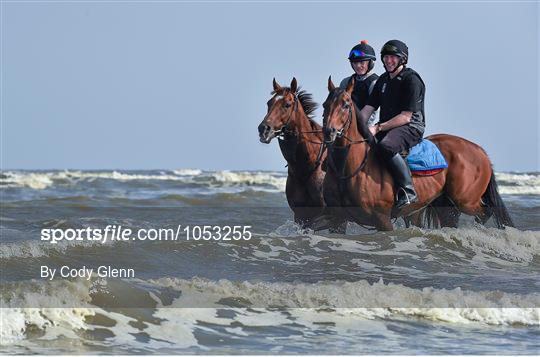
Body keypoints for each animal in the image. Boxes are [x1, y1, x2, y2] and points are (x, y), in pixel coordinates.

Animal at [320, 76, 516, 229]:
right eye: (325, 105)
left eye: (346, 105)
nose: (329, 131)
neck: (348, 169)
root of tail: (481, 152)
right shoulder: (336, 219)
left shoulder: (382, 220)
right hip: (445, 205)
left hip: (466, 200)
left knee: (485, 213)